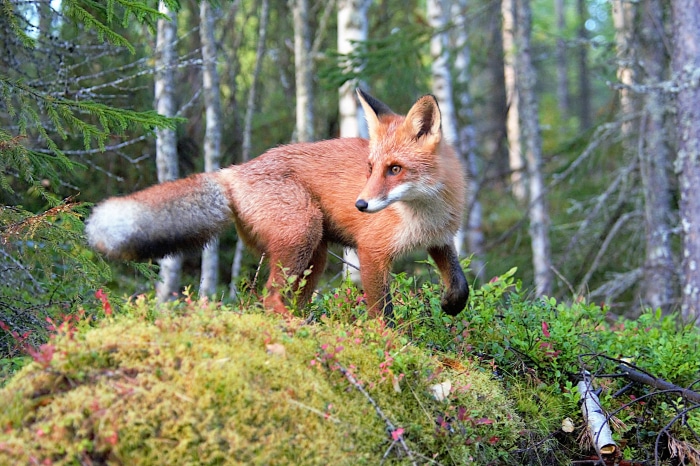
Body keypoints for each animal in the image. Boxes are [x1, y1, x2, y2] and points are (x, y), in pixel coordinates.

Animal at [86, 89, 469, 319]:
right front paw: (387, 344)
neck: (423, 215)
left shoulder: (440, 238)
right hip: (304, 231)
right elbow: (382, 313)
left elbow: (460, 282)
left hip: (313, 255)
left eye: (395, 169)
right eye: (371, 168)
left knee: (286, 299)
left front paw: (451, 304)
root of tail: (233, 172)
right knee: (269, 299)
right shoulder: (372, 251)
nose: (360, 204)